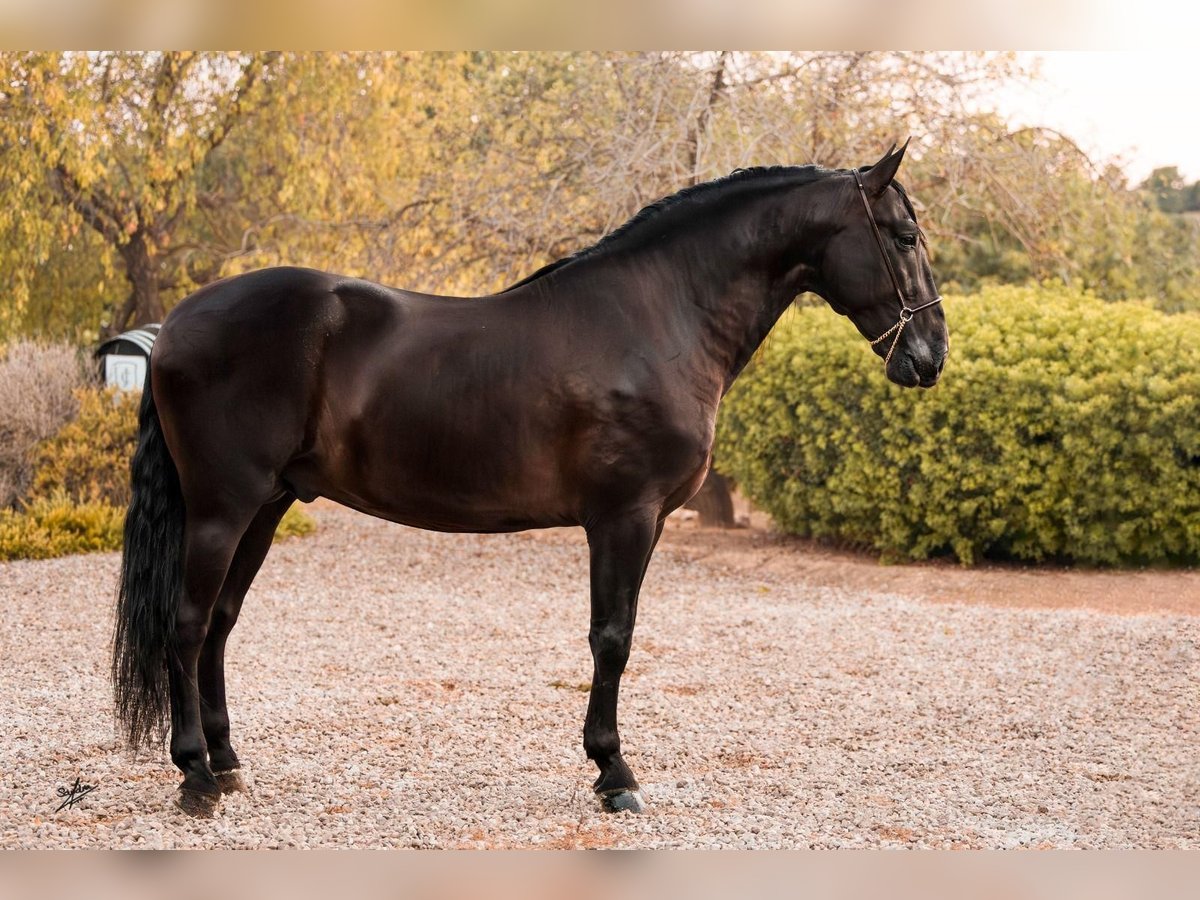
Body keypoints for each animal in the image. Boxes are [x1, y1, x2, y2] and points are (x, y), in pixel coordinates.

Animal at [112, 142, 945, 816]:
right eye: (903, 236)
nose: (931, 355)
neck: (661, 318)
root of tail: (175, 324)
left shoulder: (642, 522)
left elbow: (618, 635)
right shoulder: (624, 516)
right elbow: (612, 638)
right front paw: (614, 773)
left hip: (268, 505)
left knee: (220, 625)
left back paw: (228, 765)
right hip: (222, 508)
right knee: (187, 624)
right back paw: (194, 777)